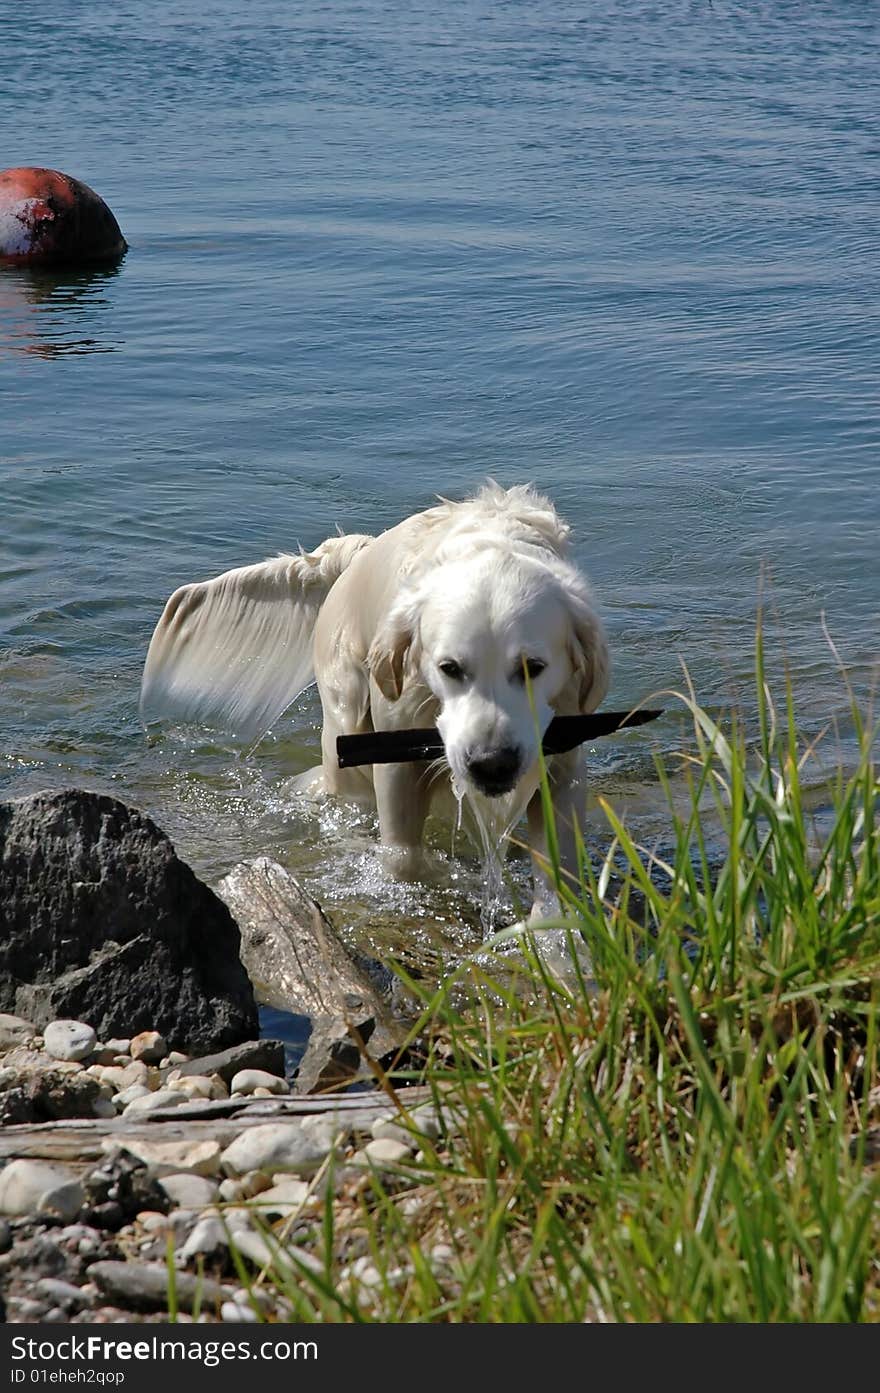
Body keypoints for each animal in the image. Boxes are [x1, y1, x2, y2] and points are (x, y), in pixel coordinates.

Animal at [140, 484, 607, 919]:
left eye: (533, 667)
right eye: (450, 668)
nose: (491, 765)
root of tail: (358, 553)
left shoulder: (564, 760)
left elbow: (561, 879)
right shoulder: (398, 752)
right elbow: (402, 858)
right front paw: (445, 878)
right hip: (345, 716)